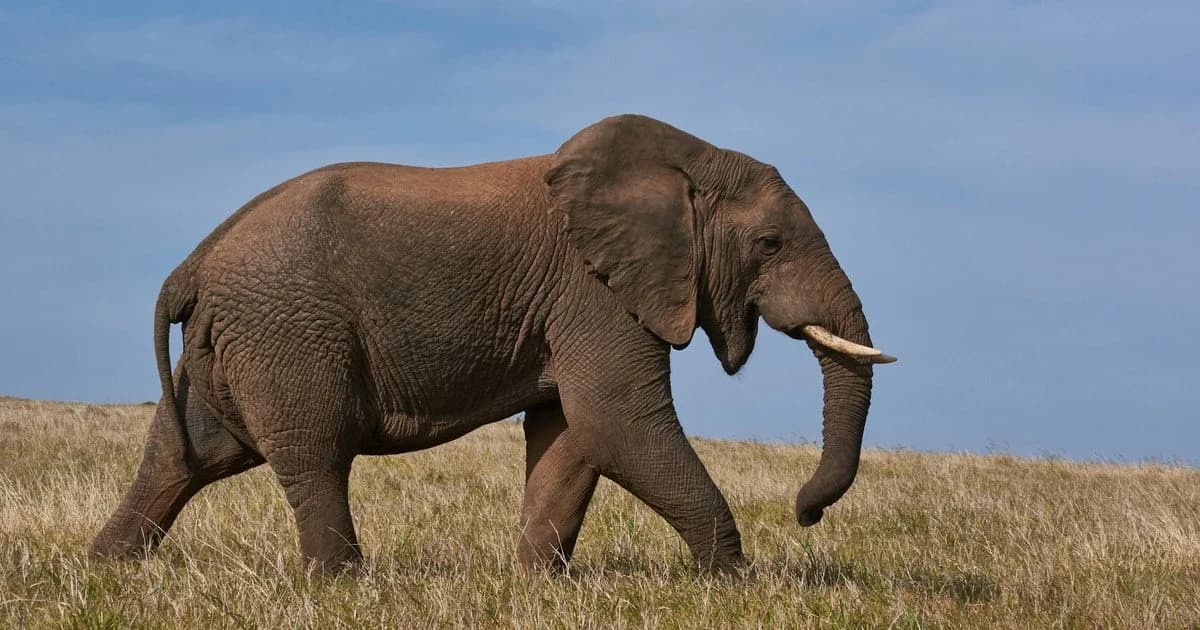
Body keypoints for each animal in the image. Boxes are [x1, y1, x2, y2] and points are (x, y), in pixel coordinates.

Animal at [90, 114, 895, 574]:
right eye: (770, 244)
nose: (805, 514)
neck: (684, 162)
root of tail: (194, 263)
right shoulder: (593, 291)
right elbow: (618, 422)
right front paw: (730, 583)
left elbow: (572, 434)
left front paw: (536, 587)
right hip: (286, 330)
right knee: (313, 454)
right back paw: (342, 587)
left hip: (234, 343)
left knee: (186, 454)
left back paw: (108, 571)